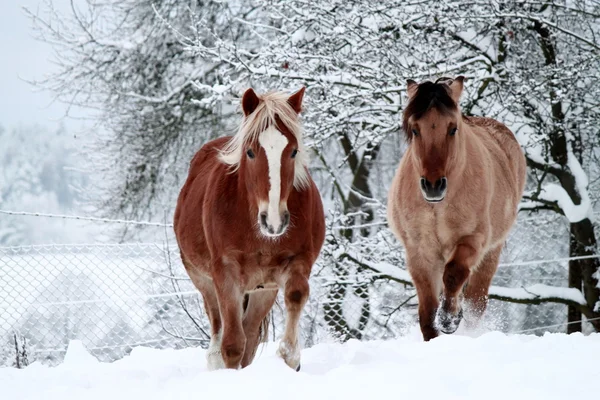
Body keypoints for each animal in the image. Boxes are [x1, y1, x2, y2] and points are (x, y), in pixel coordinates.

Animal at [173, 86, 324, 370]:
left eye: (293, 151)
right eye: (251, 152)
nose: (274, 221)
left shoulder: (296, 264)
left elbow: (294, 298)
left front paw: (291, 357)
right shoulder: (225, 274)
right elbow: (231, 346)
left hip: (263, 291)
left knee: (250, 338)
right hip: (204, 281)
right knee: (219, 334)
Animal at [390, 76, 524, 340]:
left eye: (453, 128)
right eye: (415, 129)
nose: (433, 186)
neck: (438, 208)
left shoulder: (472, 240)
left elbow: (453, 276)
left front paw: (449, 319)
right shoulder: (418, 252)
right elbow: (426, 313)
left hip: (491, 253)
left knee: (476, 301)